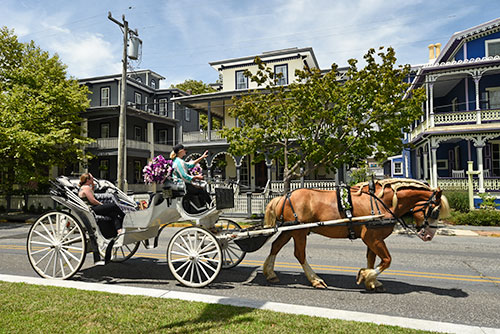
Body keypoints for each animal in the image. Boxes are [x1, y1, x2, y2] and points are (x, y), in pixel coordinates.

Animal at [262, 179, 450, 290]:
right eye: (435, 211)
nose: (429, 236)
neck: (382, 202)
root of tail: (284, 196)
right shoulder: (372, 237)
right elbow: (387, 260)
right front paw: (366, 275)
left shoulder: (374, 238)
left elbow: (372, 259)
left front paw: (372, 280)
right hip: (299, 231)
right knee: (299, 254)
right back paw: (315, 279)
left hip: (290, 230)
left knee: (275, 246)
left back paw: (270, 274)